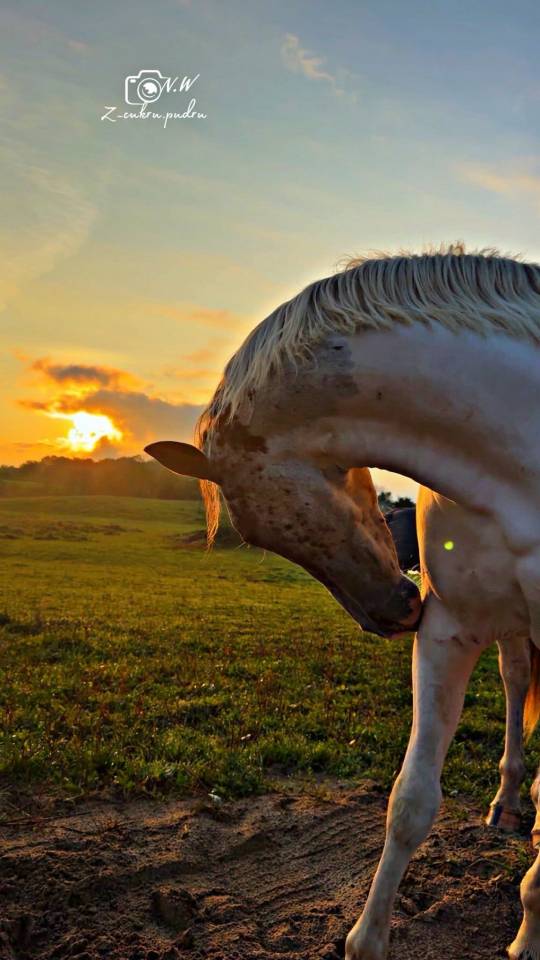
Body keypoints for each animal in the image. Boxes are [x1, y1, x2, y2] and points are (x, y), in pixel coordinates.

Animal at [145, 245, 540, 959]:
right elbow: (409, 802)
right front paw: (366, 939)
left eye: (263, 527)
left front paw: (529, 932)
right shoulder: (451, 630)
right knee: (516, 681)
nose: (391, 614)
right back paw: (507, 805)